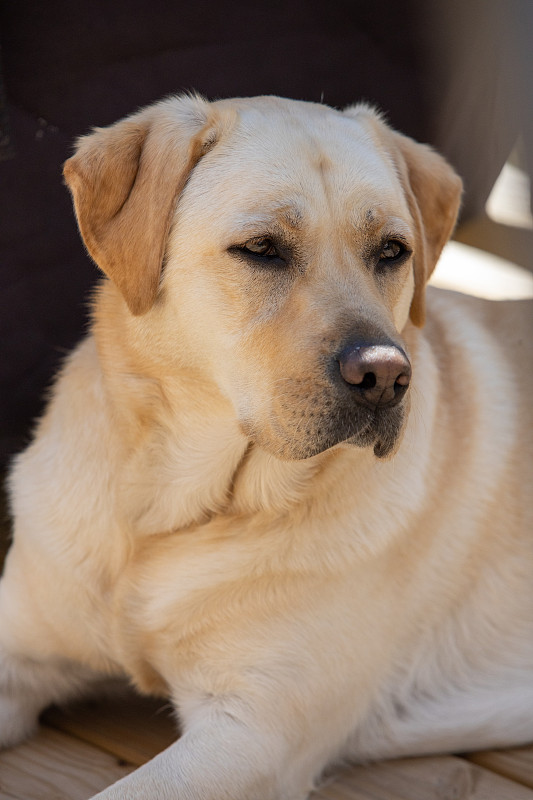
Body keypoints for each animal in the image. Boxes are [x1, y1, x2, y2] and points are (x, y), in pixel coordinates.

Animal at [1, 95, 532, 800]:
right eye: (261, 250)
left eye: (393, 252)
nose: (386, 375)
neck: (167, 514)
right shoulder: (18, 650)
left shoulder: (255, 732)